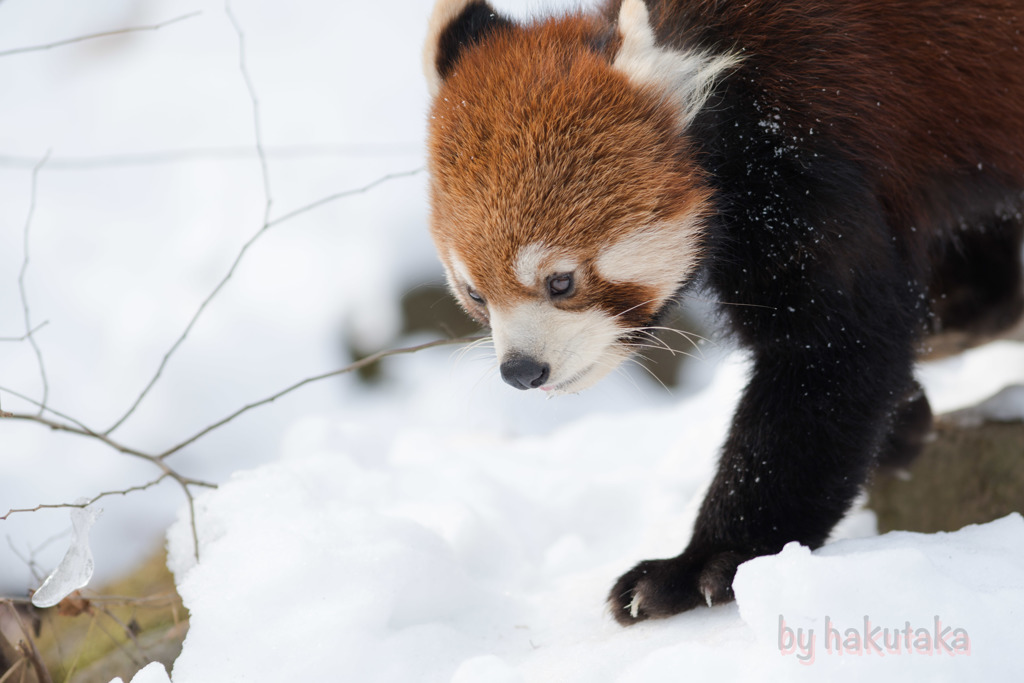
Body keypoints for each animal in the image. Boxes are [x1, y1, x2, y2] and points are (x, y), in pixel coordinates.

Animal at [419, 0, 1024, 626]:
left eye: (560, 281)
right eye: (476, 294)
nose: (522, 370)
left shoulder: (809, 157)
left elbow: (833, 357)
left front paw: (705, 563)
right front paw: (904, 417)